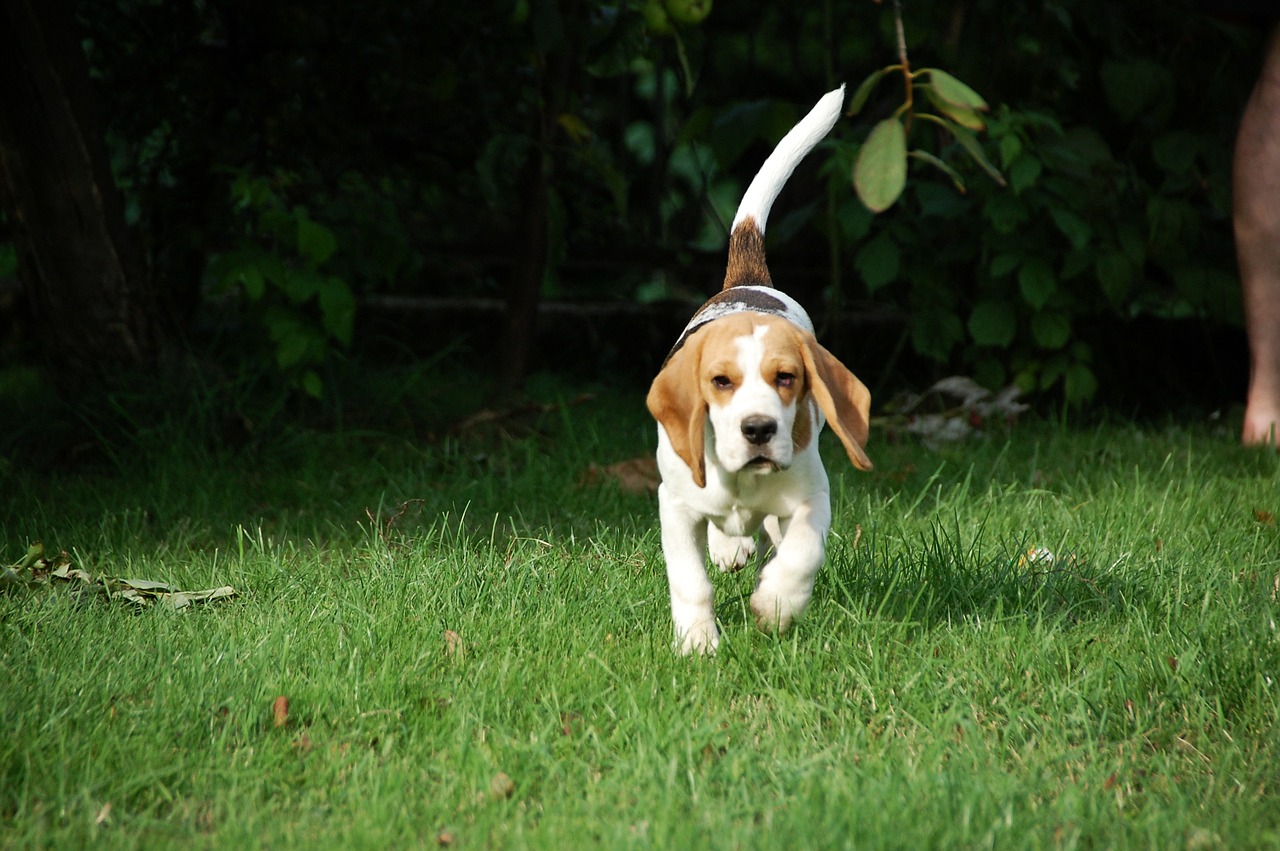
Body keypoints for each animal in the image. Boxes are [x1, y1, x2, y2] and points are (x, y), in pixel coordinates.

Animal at [645, 86, 875, 652]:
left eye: (786, 378)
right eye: (720, 382)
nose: (758, 429)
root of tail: (748, 279)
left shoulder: (812, 496)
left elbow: (802, 553)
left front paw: (777, 603)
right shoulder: (674, 506)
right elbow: (690, 580)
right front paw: (697, 642)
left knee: (772, 536)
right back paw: (730, 548)